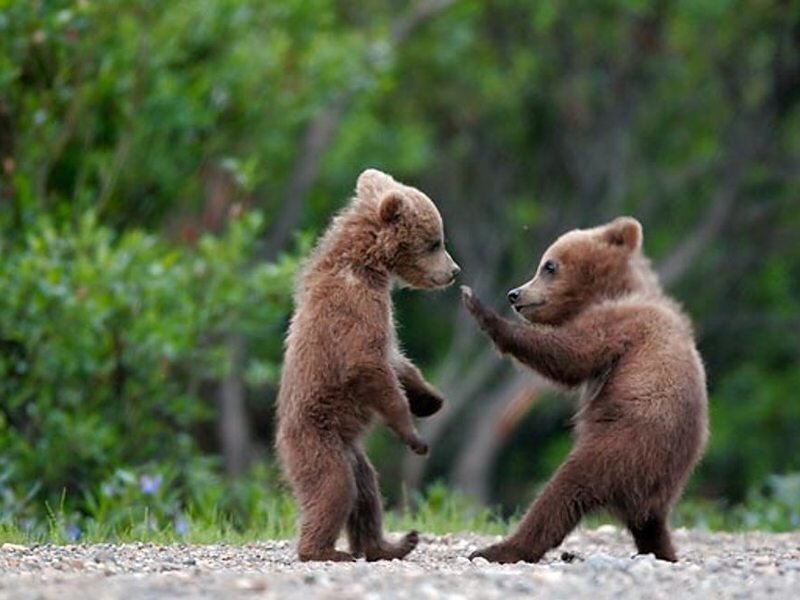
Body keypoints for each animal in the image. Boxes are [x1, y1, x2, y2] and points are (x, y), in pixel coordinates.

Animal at [276, 168, 460, 562]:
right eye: (435, 242)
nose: (454, 271)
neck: (368, 266)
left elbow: (397, 360)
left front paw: (430, 398)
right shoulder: (355, 309)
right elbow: (368, 364)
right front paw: (414, 436)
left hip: (352, 452)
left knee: (366, 492)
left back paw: (391, 544)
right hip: (318, 440)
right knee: (334, 488)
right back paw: (324, 551)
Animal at [460, 216, 708, 564]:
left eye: (549, 265)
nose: (514, 294)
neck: (612, 291)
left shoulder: (619, 325)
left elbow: (571, 355)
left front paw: (479, 307)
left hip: (622, 446)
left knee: (562, 491)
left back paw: (500, 548)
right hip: (658, 481)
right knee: (650, 524)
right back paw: (663, 551)